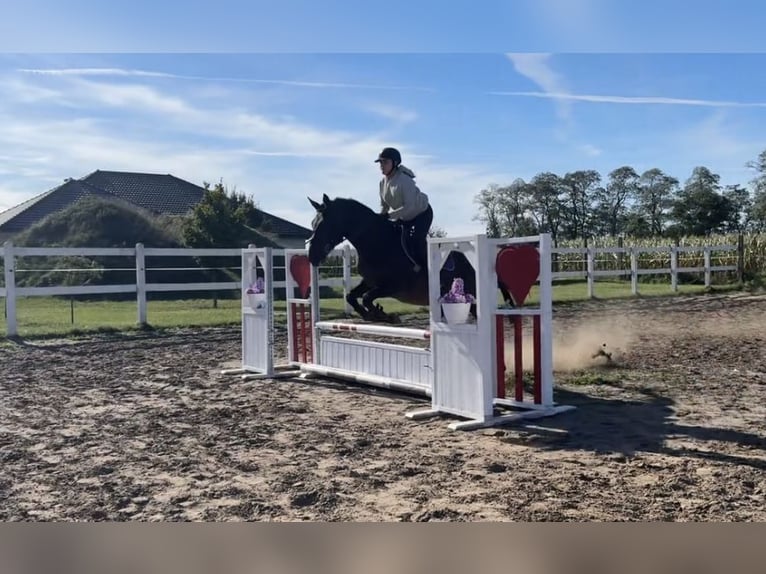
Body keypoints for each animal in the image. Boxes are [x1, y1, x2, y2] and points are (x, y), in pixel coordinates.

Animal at [306, 194, 512, 323]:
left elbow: (366, 297)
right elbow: (352, 296)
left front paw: (384, 315)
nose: (311, 256)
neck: (376, 242)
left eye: (324, 224)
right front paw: (372, 315)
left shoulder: (393, 287)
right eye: (313, 223)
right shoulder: (370, 282)